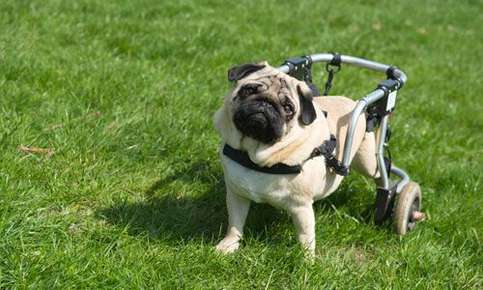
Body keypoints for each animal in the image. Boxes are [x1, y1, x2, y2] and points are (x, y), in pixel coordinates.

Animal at [216, 62, 382, 255]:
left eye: (288, 108)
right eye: (249, 90)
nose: (266, 103)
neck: (255, 154)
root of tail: (354, 103)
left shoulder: (301, 207)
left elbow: (306, 238)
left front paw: (307, 259)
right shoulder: (237, 195)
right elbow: (235, 224)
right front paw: (229, 245)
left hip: (367, 162)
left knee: (380, 172)